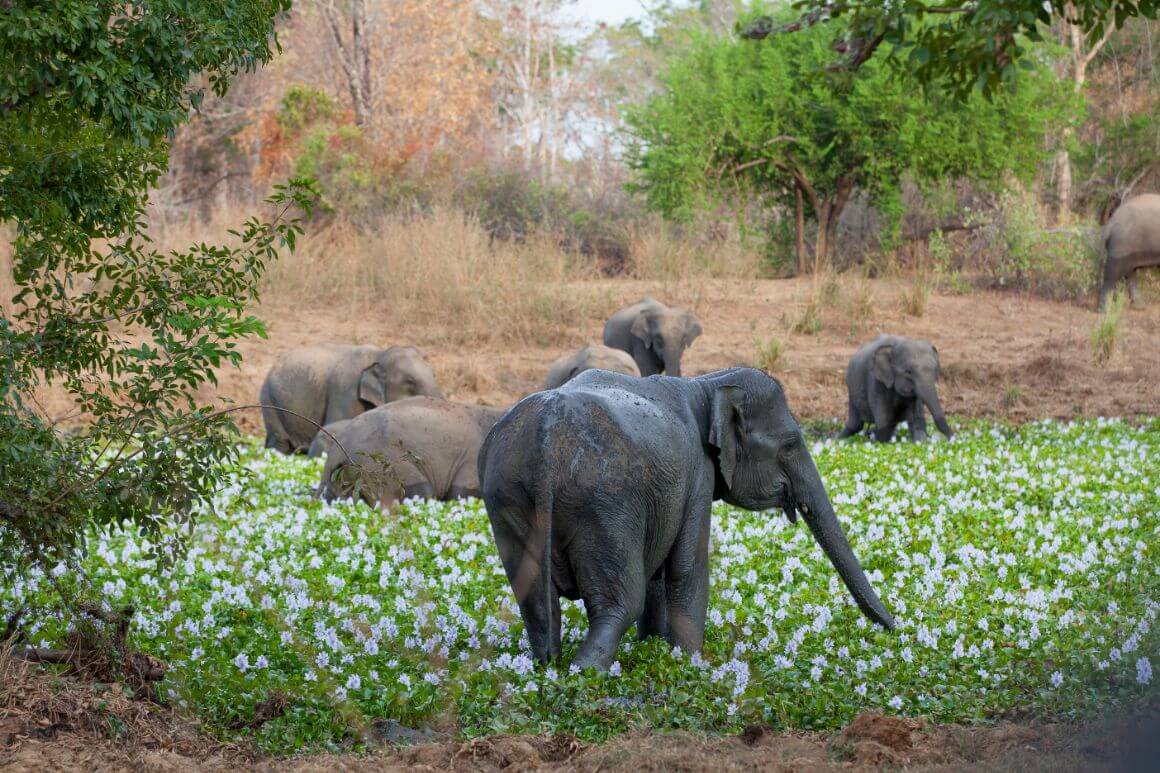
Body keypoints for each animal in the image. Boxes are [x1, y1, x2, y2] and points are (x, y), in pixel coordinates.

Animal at [261, 341, 440, 452]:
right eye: (410, 383)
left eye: (434, 374)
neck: (379, 355)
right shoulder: (346, 391)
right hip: (269, 402)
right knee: (281, 444)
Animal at [475, 366, 890, 668]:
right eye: (790, 444)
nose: (892, 629)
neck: (707, 385)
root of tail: (545, 446)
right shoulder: (697, 476)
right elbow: (685, 567)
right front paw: (691, 665)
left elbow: (659, 574)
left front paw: (655, 651)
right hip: (604, 503)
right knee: (619, 604)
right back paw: (583, 676)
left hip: (508, 498)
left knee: (537, 604)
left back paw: (546, 669)